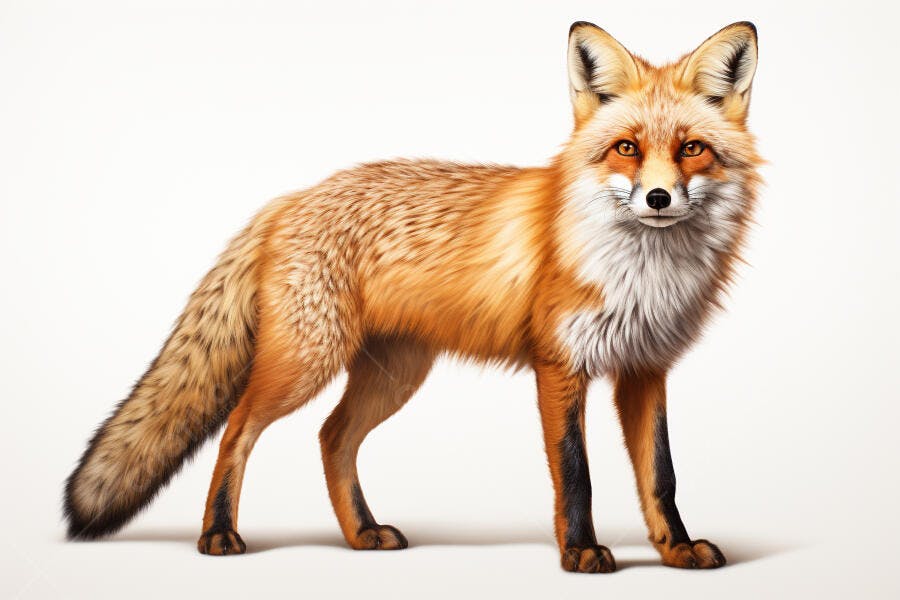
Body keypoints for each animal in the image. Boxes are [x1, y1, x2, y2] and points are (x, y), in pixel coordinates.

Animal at [64, 21, 761, 573]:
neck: (642, 276)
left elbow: (661, 475)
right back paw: (218, 532)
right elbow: (576, 472)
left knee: (332, 437)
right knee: (237, 429)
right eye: (626, 148)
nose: (658, 198)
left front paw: (676, 549)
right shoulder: (560, 366)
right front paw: (581, 553)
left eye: (692, 149)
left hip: (393, 374)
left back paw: (362, 533)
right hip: (306, 362)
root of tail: (290, 197)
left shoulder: (645, 369)